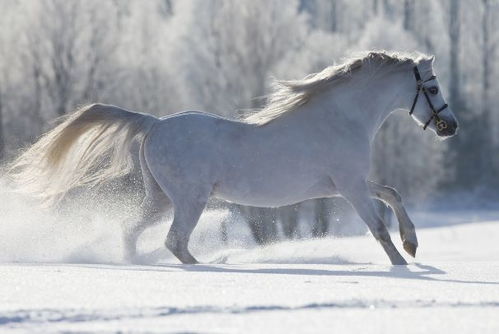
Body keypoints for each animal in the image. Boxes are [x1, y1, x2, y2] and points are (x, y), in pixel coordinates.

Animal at [8, 51, 460, 266]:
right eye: (433, 87)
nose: (450, 126)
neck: (342, 116)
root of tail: (154, 124)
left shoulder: (346, 186)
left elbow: (393, 193)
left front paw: (413, 245)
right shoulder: (349, 188)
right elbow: (378, 228)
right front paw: (402, 264)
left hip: (160, 200)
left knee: (132, 232)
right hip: (188, 200)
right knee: (174, 241)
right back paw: (211, 263)